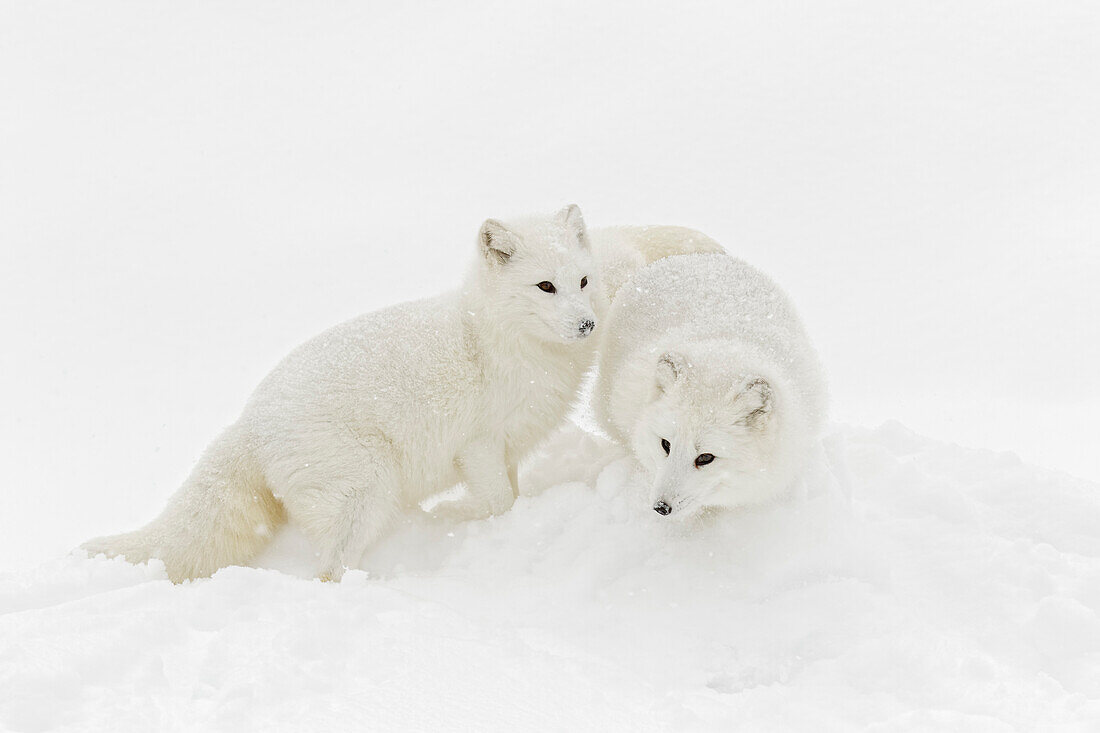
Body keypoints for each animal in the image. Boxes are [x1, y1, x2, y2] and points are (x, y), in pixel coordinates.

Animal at [85, 208, 721, 581]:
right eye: (545, 286)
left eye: (584, 281)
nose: (588, 325)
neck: (496, 338)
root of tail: (249, 421)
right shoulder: (479, 446)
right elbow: (498, 502)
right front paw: (493, 528)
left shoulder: (508, 449)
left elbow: (510, 494)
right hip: (365, 489)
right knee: (329, 568)